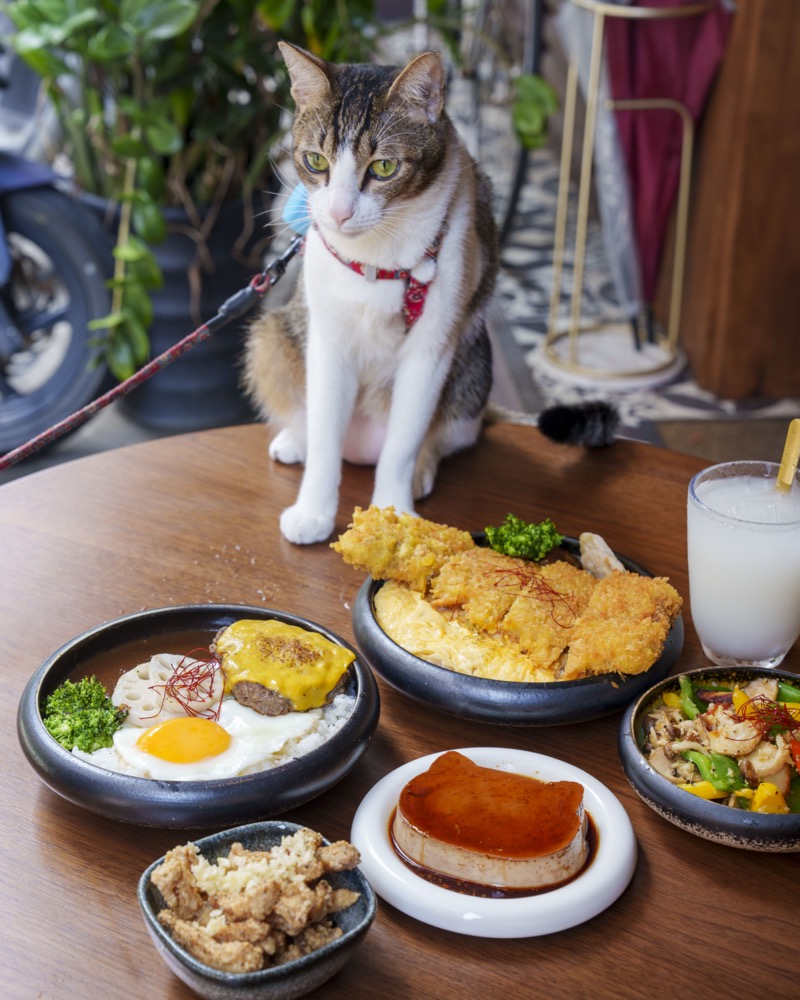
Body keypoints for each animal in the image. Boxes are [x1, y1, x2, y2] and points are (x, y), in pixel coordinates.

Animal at [241, 43, 496, 548]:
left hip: (475, 367)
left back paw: (422, 468)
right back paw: (296, 439)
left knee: (444, 432)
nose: (339, 213)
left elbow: (402, 444)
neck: (377, 260)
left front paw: (393, 510)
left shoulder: (432, 348)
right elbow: (325, 435)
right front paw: (313, 510)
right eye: (315, 161)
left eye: (383, 167)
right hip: (274, 335)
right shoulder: (326, 340)